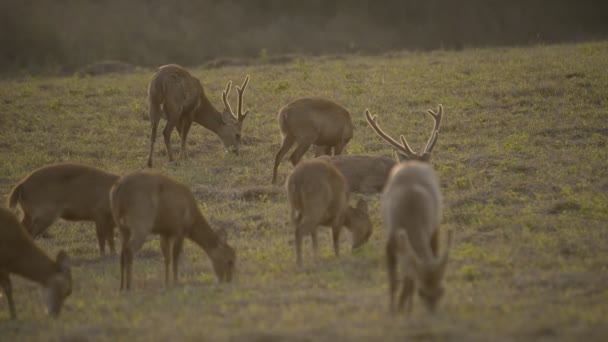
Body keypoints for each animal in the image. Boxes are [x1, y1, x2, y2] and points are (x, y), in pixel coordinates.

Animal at [364, 105, 454, 316]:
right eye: (423, 292)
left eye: (442, 291)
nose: (433, 312)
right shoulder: (393, 238)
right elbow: (394, 281)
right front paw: (395, 310)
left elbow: (406, 278)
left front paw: (403, 307)